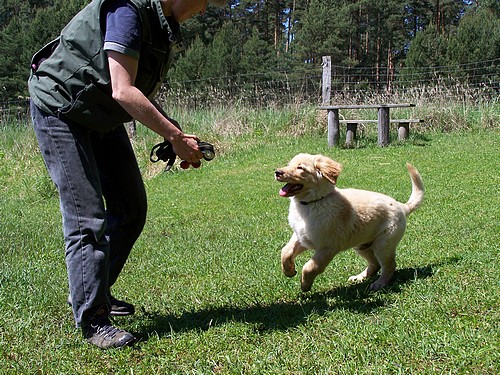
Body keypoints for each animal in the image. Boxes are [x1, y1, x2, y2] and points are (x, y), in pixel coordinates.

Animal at [276, 154, 424, 292]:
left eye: (300, 168)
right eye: (288, 164)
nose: (277, 172)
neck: (313, 202)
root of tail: (401, 206)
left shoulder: (327, 247)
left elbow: (310, 267)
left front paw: (305, 284)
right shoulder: (301, 236)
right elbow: (285, 251)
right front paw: (289, 271)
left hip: (383, 244)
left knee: (389, 265)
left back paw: (379, 284)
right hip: (362, 245)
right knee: (375, 264)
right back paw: (360, 277)